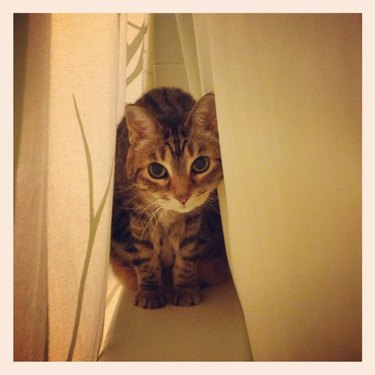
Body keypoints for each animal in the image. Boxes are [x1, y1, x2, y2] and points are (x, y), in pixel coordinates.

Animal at [110, 86, 229, 310]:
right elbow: (145, 257)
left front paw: (185, 289)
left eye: (201, 164)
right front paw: (151, 292)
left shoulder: (195, 222)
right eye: (157, 170)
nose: (183, 197)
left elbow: (187, 255)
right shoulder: (134, 220)